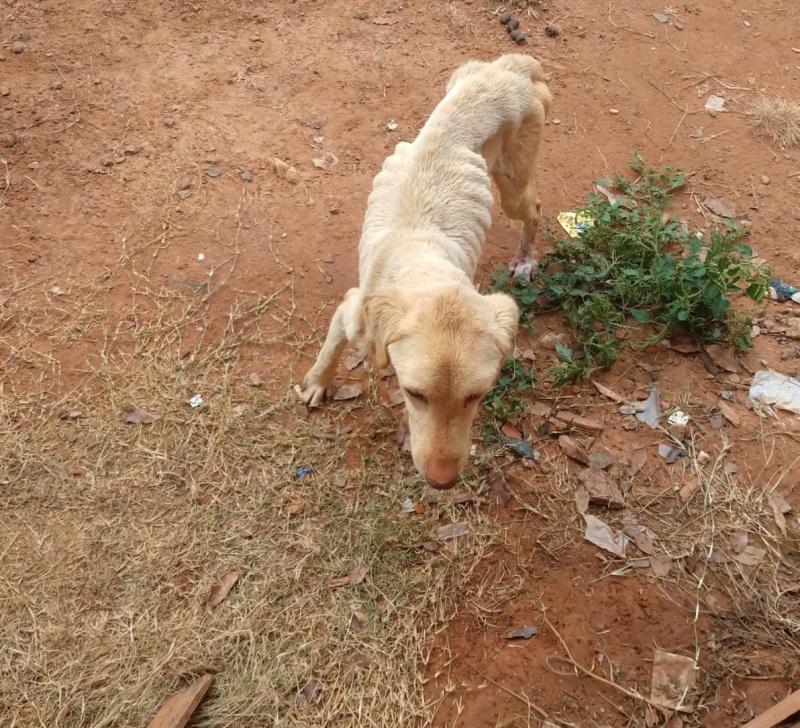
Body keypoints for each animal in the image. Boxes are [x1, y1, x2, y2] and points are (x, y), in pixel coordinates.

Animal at [294, 55, 552, 490]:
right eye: (414, 392)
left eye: (477, 395)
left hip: (512, 185)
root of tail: (512, 67)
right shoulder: (352, 312)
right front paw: (317, 382)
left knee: (534, 210)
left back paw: (526, 257)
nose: (442, 483)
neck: (423, 260)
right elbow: (330, 350)